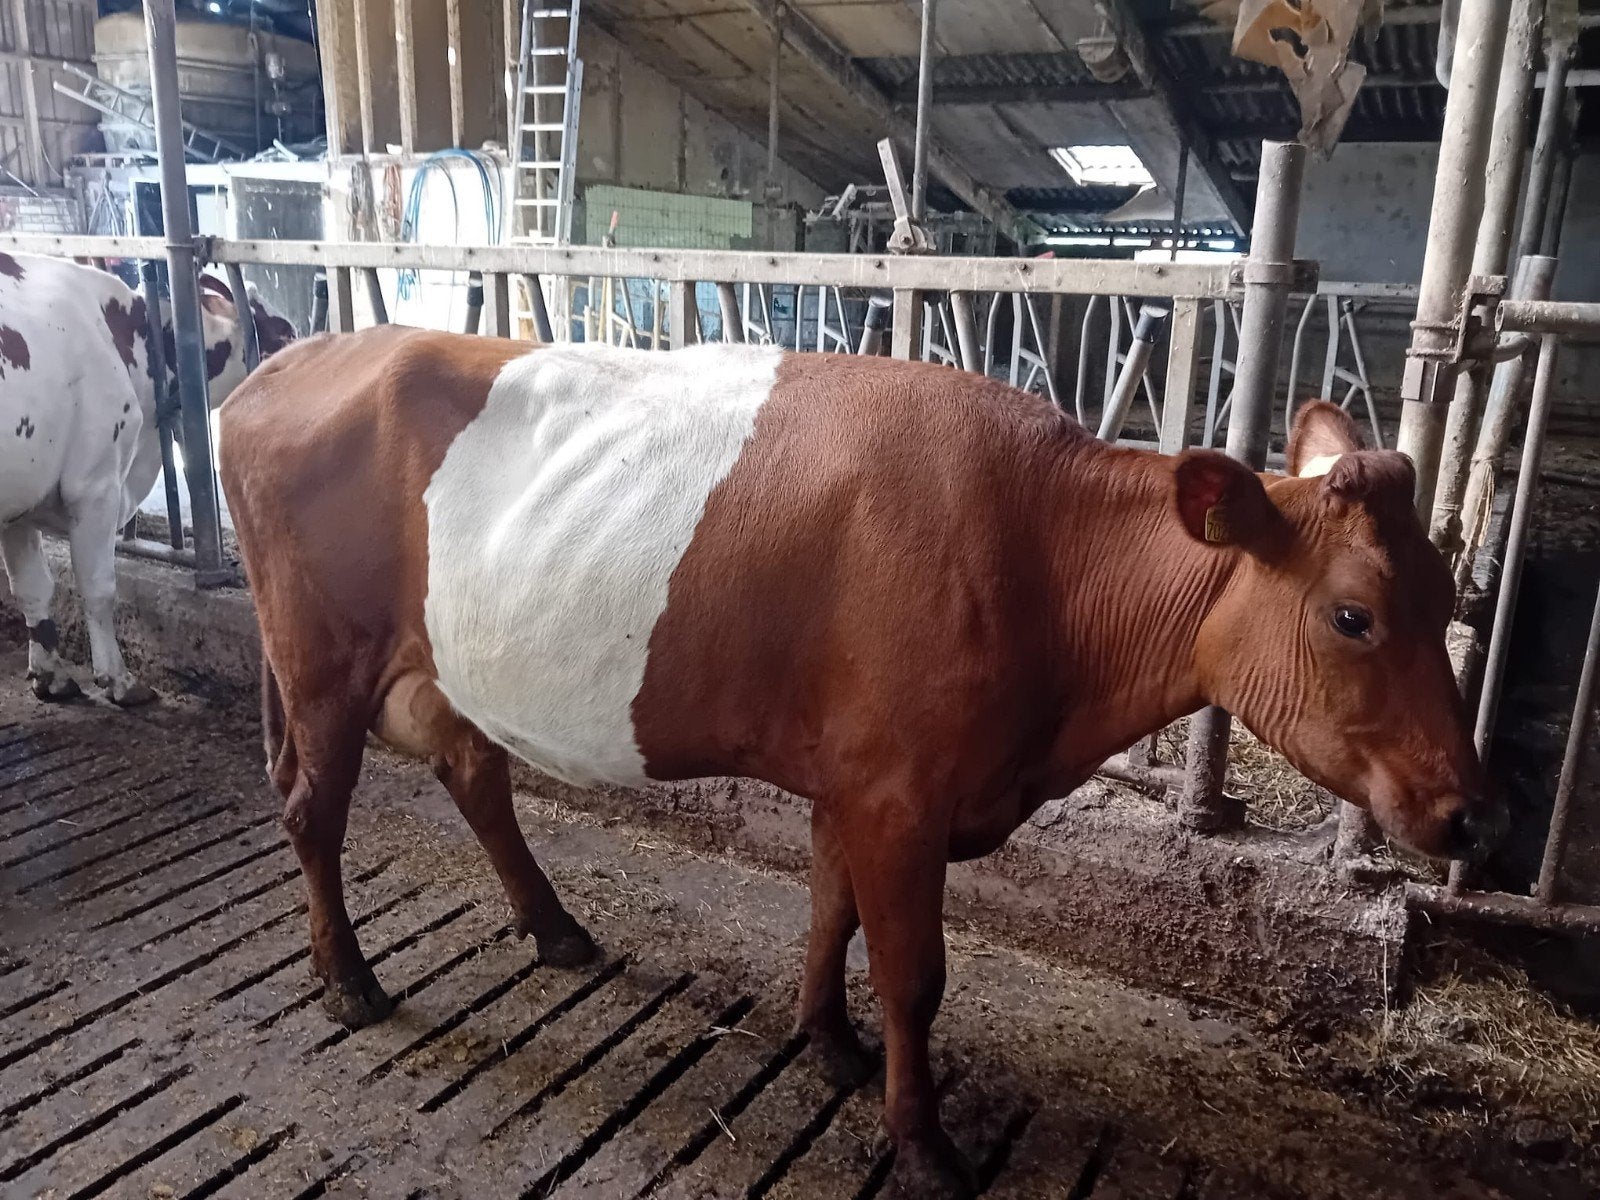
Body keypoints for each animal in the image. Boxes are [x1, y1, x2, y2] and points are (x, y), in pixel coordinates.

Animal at [0, 253, 294, 706]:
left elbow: (32, 588)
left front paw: (51, 678)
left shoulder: (24, 498)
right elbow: (99, 587)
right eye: (285, 333)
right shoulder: (96, 484)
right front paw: (119, 680)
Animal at [219, 329, 1506, 1199]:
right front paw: (923, 1142)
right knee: (311, 807)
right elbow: (913, 975)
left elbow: (828, 910)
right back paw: (348, 978)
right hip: (319, 657)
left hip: (437, 664)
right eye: (1352, 616)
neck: (1044, 560)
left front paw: (828, 1043)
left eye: (1448, 595)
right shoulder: (899, 793)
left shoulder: (854, 779)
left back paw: (555, 928)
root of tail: (291, 359)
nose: (1466, 814)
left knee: (473, 773)